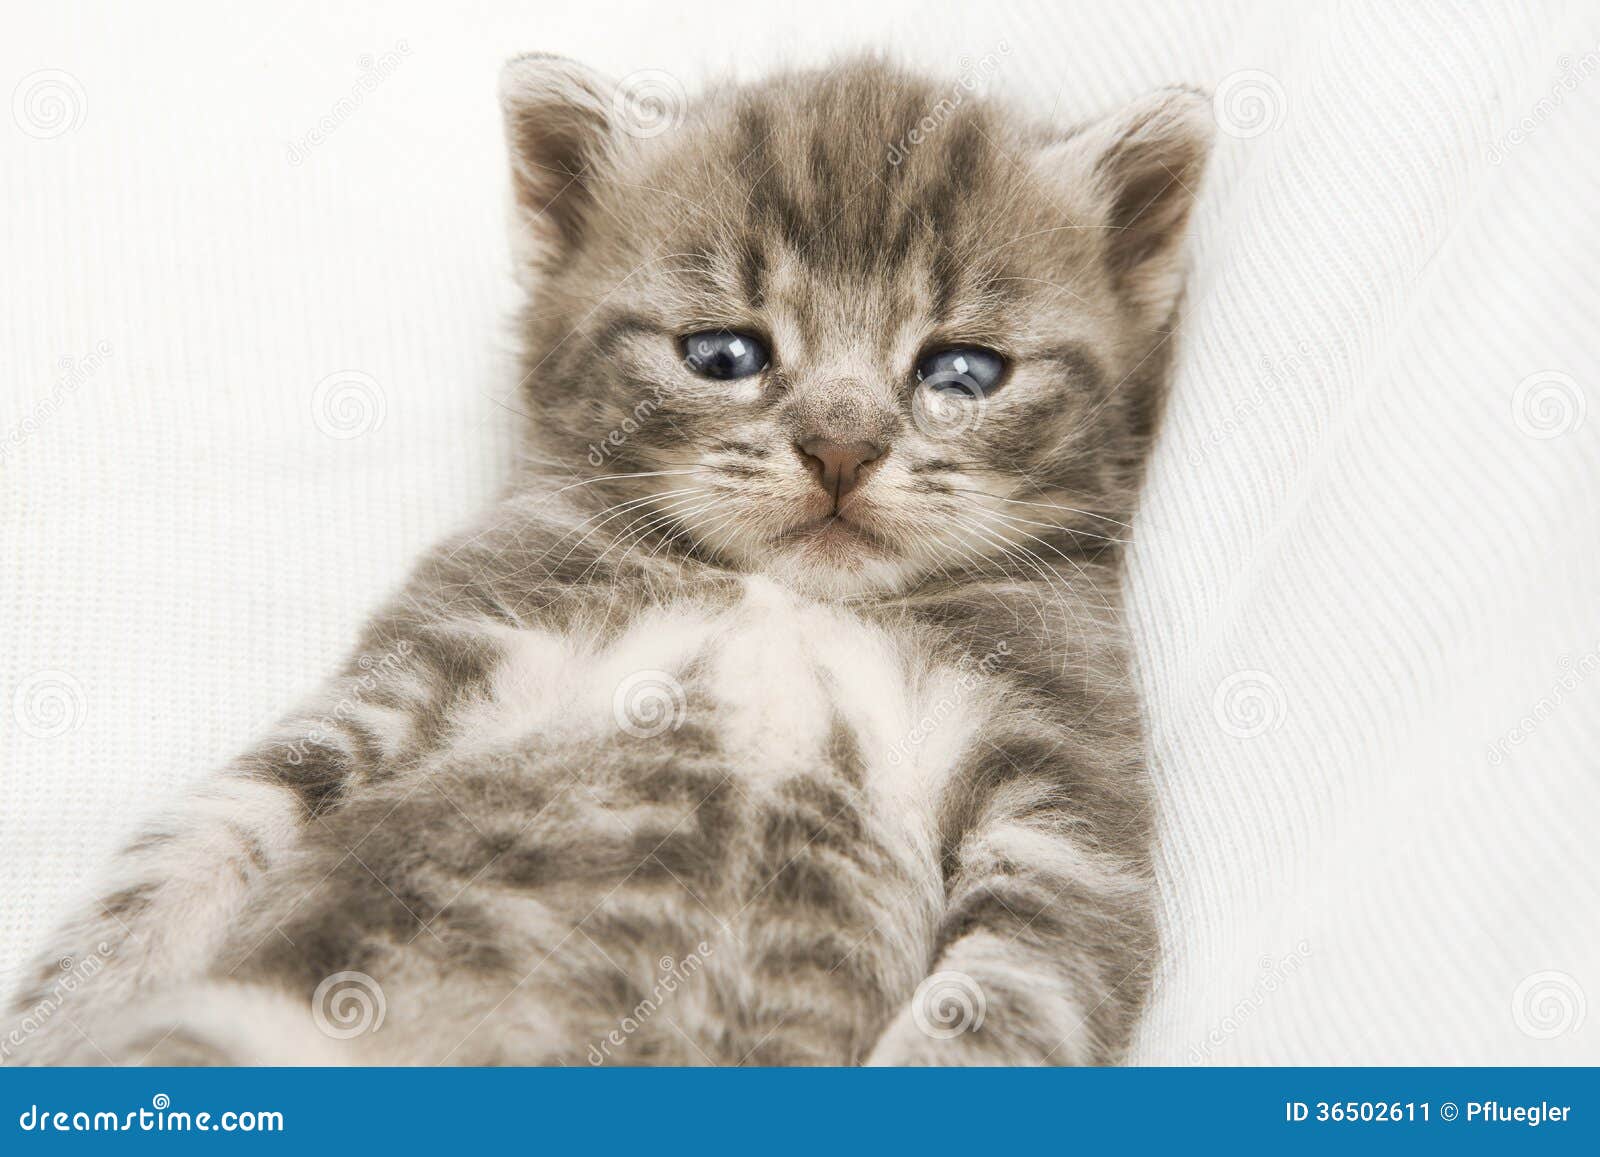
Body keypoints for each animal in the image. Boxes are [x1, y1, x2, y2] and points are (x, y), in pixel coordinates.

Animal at [3, 54, 1209, 1068]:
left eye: (963, 371)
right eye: (722, 353)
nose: (840, 447)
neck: (785, 599)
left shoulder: (1069, 807)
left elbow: (1001, 1003)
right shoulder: (439, 642)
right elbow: (190, 848)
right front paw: (61, 1018)